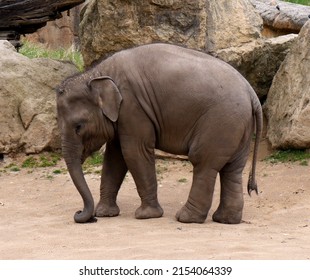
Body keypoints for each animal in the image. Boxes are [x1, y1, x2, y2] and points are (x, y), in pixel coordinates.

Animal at [55, 42, 262, 224]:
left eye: (78, 126)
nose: (81, 213)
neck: (97, 72)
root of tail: (252, 94)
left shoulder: (133, 108)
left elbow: (134, 152)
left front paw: (146, 215)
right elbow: (115, 157)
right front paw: (105, 213)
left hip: (220, 122)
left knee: (203, 162)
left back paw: (186, 218)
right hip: (238, 127)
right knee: (232, 169)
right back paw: (225, 220)